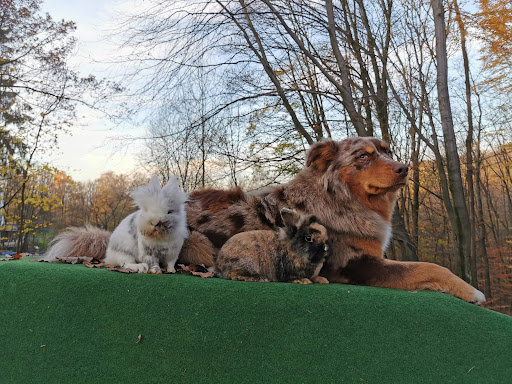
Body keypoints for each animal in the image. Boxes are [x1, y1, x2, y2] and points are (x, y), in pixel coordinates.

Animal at [179, 137, 484, 304]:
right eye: (363, 156)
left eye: (388, 151)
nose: (404, 168)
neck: (343, 200)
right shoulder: (358, 265)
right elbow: (430, 267)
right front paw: (472, 292)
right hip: (197, 242)